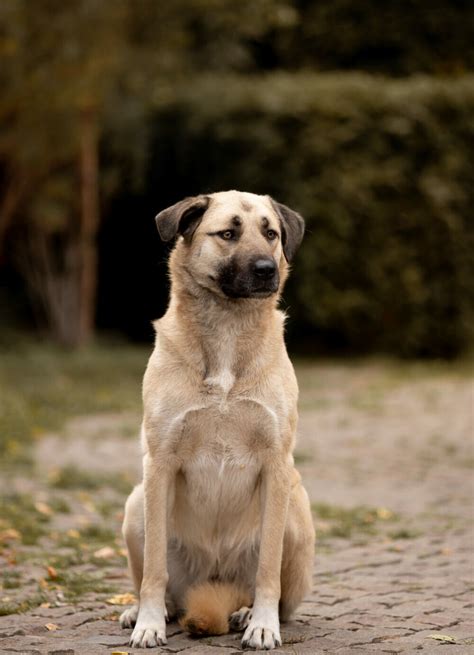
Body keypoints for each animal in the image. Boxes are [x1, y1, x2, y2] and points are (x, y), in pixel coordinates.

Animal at [118, 191, 314, 652]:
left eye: (271, 233)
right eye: (228, 234)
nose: (267, 270)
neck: (228, 325)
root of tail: (214, 577)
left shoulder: (277, 464)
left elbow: (267, 572)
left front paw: (263, 625)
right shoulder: (160, 463)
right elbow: (154, 571)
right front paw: (148, 623)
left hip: (296, 508)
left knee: (274, 592)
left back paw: (246, 612)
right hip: (136, 504)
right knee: (163, 587)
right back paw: (149, 610)